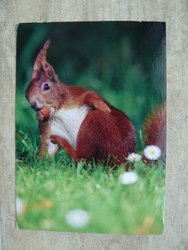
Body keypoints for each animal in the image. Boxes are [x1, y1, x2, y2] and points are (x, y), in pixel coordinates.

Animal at [25, 40, 166, 166]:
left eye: (46, 86)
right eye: (26, 94)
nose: (33, 104)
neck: (58, 111)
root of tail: (124, 161)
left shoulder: (76, 96)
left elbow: (91, 95)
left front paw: (102, 105)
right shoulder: (48, 127)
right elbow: (47, 149)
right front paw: (38, 165)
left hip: (93, 123)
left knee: (82, 157)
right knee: (82, 159)